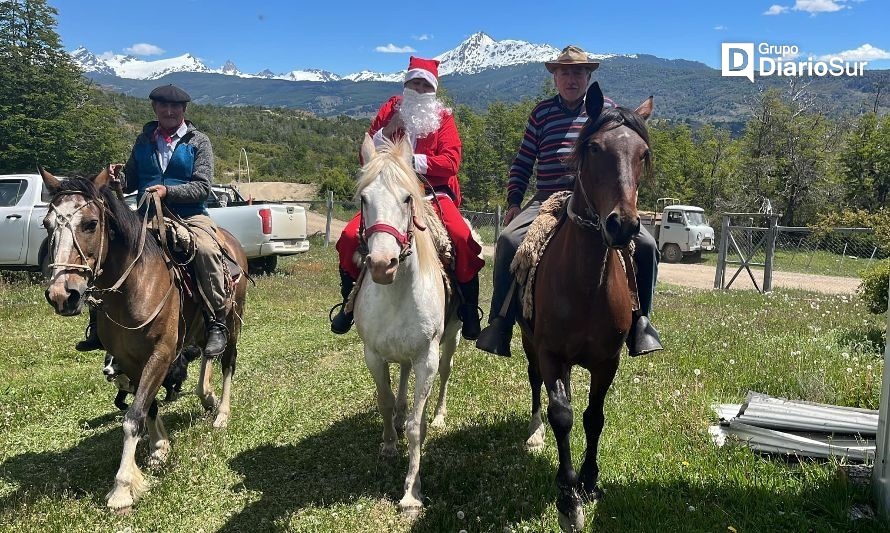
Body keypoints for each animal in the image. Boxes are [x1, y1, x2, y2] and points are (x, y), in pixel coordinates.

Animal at [39, 167, 246, 512]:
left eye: (90, 223)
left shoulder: (160, 354)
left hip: (232, 319)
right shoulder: (129, 359)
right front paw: (160, 447)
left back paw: (222, 414)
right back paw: (207, 397)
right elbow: (146, 406)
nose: (61, 295)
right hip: (199, 328)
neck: (133, 288)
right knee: (208, 352)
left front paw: (122, 488)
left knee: (228, 360)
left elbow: (133, 416)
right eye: (47, 224)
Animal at [348, 132, 458, 516]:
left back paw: (437, 416)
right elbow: (383, 401)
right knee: (402, 379)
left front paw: (412, 490)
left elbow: (414, 426)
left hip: (450, 342)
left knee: (444, 376)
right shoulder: (373, 354)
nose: (383, 264)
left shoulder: (427, 356)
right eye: (364, 199)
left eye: (407, 197)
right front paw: (387, 444)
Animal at [520, 81, 652, 528]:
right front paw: (567, 496)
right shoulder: (550, 353)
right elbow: (563, 415)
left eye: (642, 154)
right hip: (528, 344)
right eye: (594, 148)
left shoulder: (606, 360)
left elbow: (594, 418)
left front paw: (589, 481)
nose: (622, 225)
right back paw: (534, 432)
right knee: (535, 384)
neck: (585, 285)